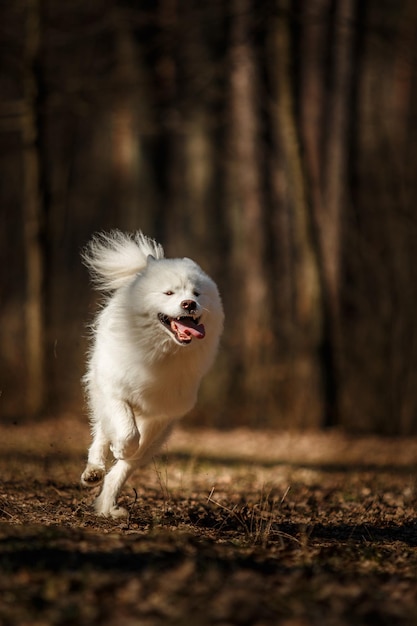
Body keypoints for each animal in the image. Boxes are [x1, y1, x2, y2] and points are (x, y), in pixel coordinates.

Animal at [80, 230, 223, 516]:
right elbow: (126, 431)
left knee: (125, 466)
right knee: (102, 433)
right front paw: (120, 447)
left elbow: (133, 452)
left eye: (197, 293)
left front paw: (122, 455)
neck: (161, 352)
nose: (189, 304)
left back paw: (106, 505)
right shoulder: (114, 390)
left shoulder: (162, 414)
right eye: (168, 293)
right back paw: (94, 472)